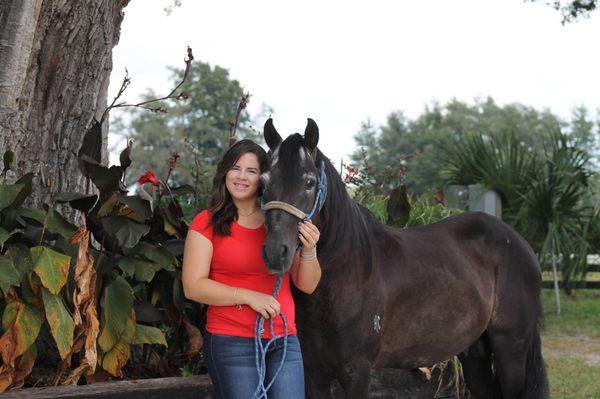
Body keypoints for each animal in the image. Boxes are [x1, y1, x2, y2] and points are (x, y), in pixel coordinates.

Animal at [260, 119, 548, 399]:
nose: (276, 252)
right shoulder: (314, 373)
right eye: (264, 183)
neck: (346, 272)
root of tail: (518, 241)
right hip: (475, 352)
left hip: (511, 349)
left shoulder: (358, 371)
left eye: (309, 182)